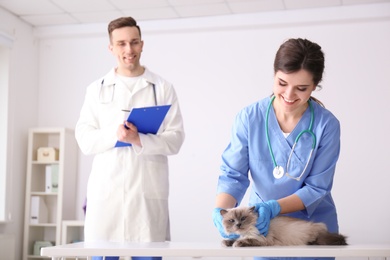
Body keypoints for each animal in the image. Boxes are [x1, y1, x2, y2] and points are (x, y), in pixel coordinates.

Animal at [219, 206, 348, 247]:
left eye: (243, 218)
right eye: (231, 220)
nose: (238, 224)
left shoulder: (262, 240)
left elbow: (246, 241)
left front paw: (237, 244)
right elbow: (233, 239)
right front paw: (227, 242)